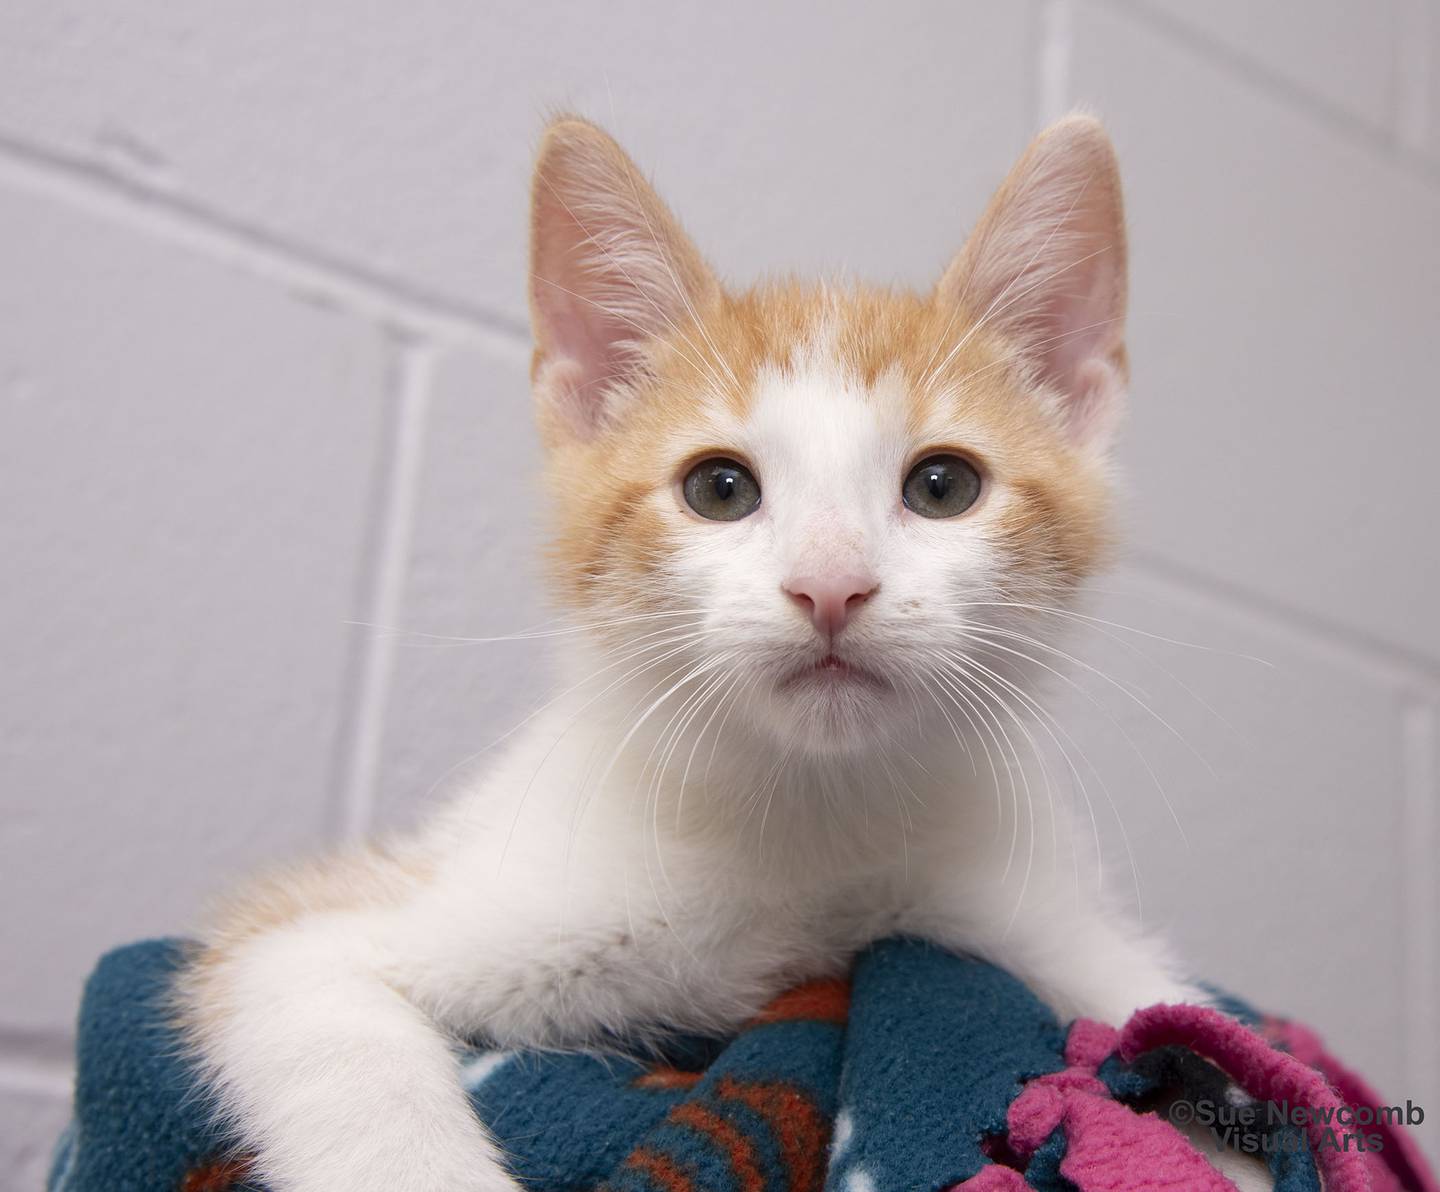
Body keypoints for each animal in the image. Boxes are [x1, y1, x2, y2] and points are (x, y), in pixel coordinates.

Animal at [180, 113, 1198, 1192]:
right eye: (718, 488)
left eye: (943, 486)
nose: (830, 584)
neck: (814, 829)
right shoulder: (324, 930)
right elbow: (326, 1019)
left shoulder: (1036, 922)